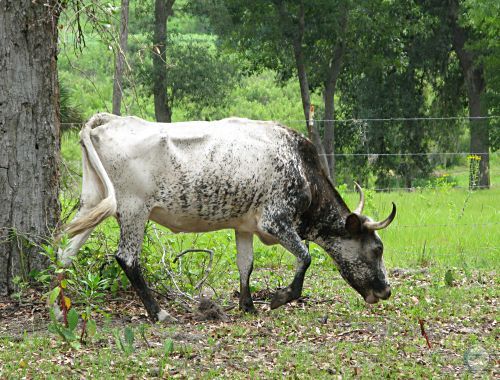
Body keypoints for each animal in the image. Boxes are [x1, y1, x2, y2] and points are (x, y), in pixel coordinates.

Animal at [57, 112, 394, 320]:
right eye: (377, 249)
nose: (386, 290)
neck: (301, 168)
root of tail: (110, 121)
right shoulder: (275, 221)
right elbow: (305, 256)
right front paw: (280, 298)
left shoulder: (245, 226)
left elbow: (246, 264)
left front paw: (248, 306)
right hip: (133, 210)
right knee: (127, 258)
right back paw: (159, 313)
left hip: (94, 203)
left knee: (65, 252)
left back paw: (59, 308)